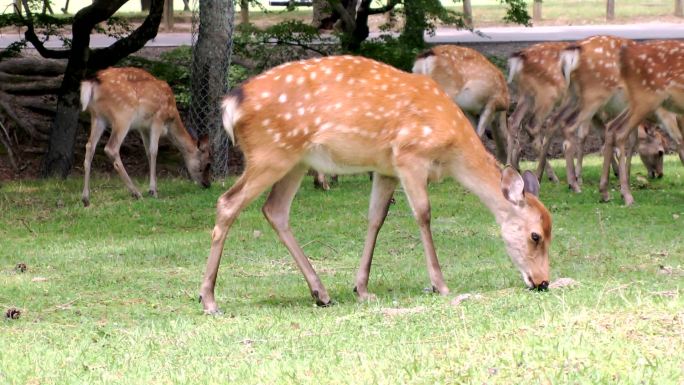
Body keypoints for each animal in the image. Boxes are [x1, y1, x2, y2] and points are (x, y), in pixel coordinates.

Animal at [79, 69, 211, 207]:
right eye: (208, 163)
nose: (207, 184)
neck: (171, 117)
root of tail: (92, 83)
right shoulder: (158, 118)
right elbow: (154, 151)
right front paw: (153, 191)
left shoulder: (143, 128)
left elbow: (147, 152)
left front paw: (152, 188)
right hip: (123, 114)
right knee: (111, 148)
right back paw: (136, 193)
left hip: (97, 116)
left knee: (89, 146)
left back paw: (86, 198)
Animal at [196, 54, 552, 314]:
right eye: (535, 235)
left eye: (551, 232)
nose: (543, 281)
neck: (452, 151)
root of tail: (230, 105)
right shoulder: (409, 156)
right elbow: (423, 214)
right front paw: (439, 284)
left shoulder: (386, 168)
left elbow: (376, 218)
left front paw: (362, 288)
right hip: (270, 153)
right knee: (228, 202)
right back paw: (209, 299)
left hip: (295, 160)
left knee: (275, 210)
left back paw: (321, 292)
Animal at [600, 39, 684, 206]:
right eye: (660, 152)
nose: (660, 174)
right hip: (647, 99)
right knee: (620, 133)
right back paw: (627, 195)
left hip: (636, 103)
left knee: (611, 127)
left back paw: (605, 192)